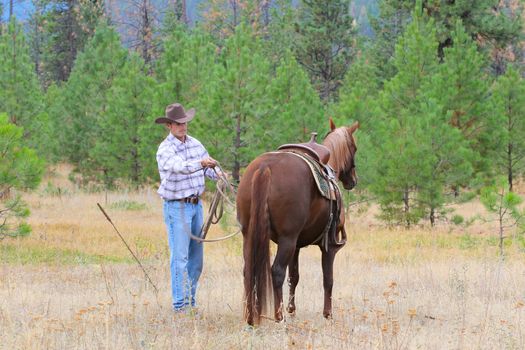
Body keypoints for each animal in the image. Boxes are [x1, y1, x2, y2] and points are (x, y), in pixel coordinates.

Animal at [235, 118, 358, 326]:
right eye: (354, 148)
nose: (353, 180)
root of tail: (264, 167)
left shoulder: (297, 246)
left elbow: (294, 276)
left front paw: (292, 310)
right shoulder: (328, 246)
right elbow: (328, 279)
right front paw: (327, 314)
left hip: (250, 235)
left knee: (248, 271)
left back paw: (251, 317)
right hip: (287, 240)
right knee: (276, 271)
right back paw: (279, 318)